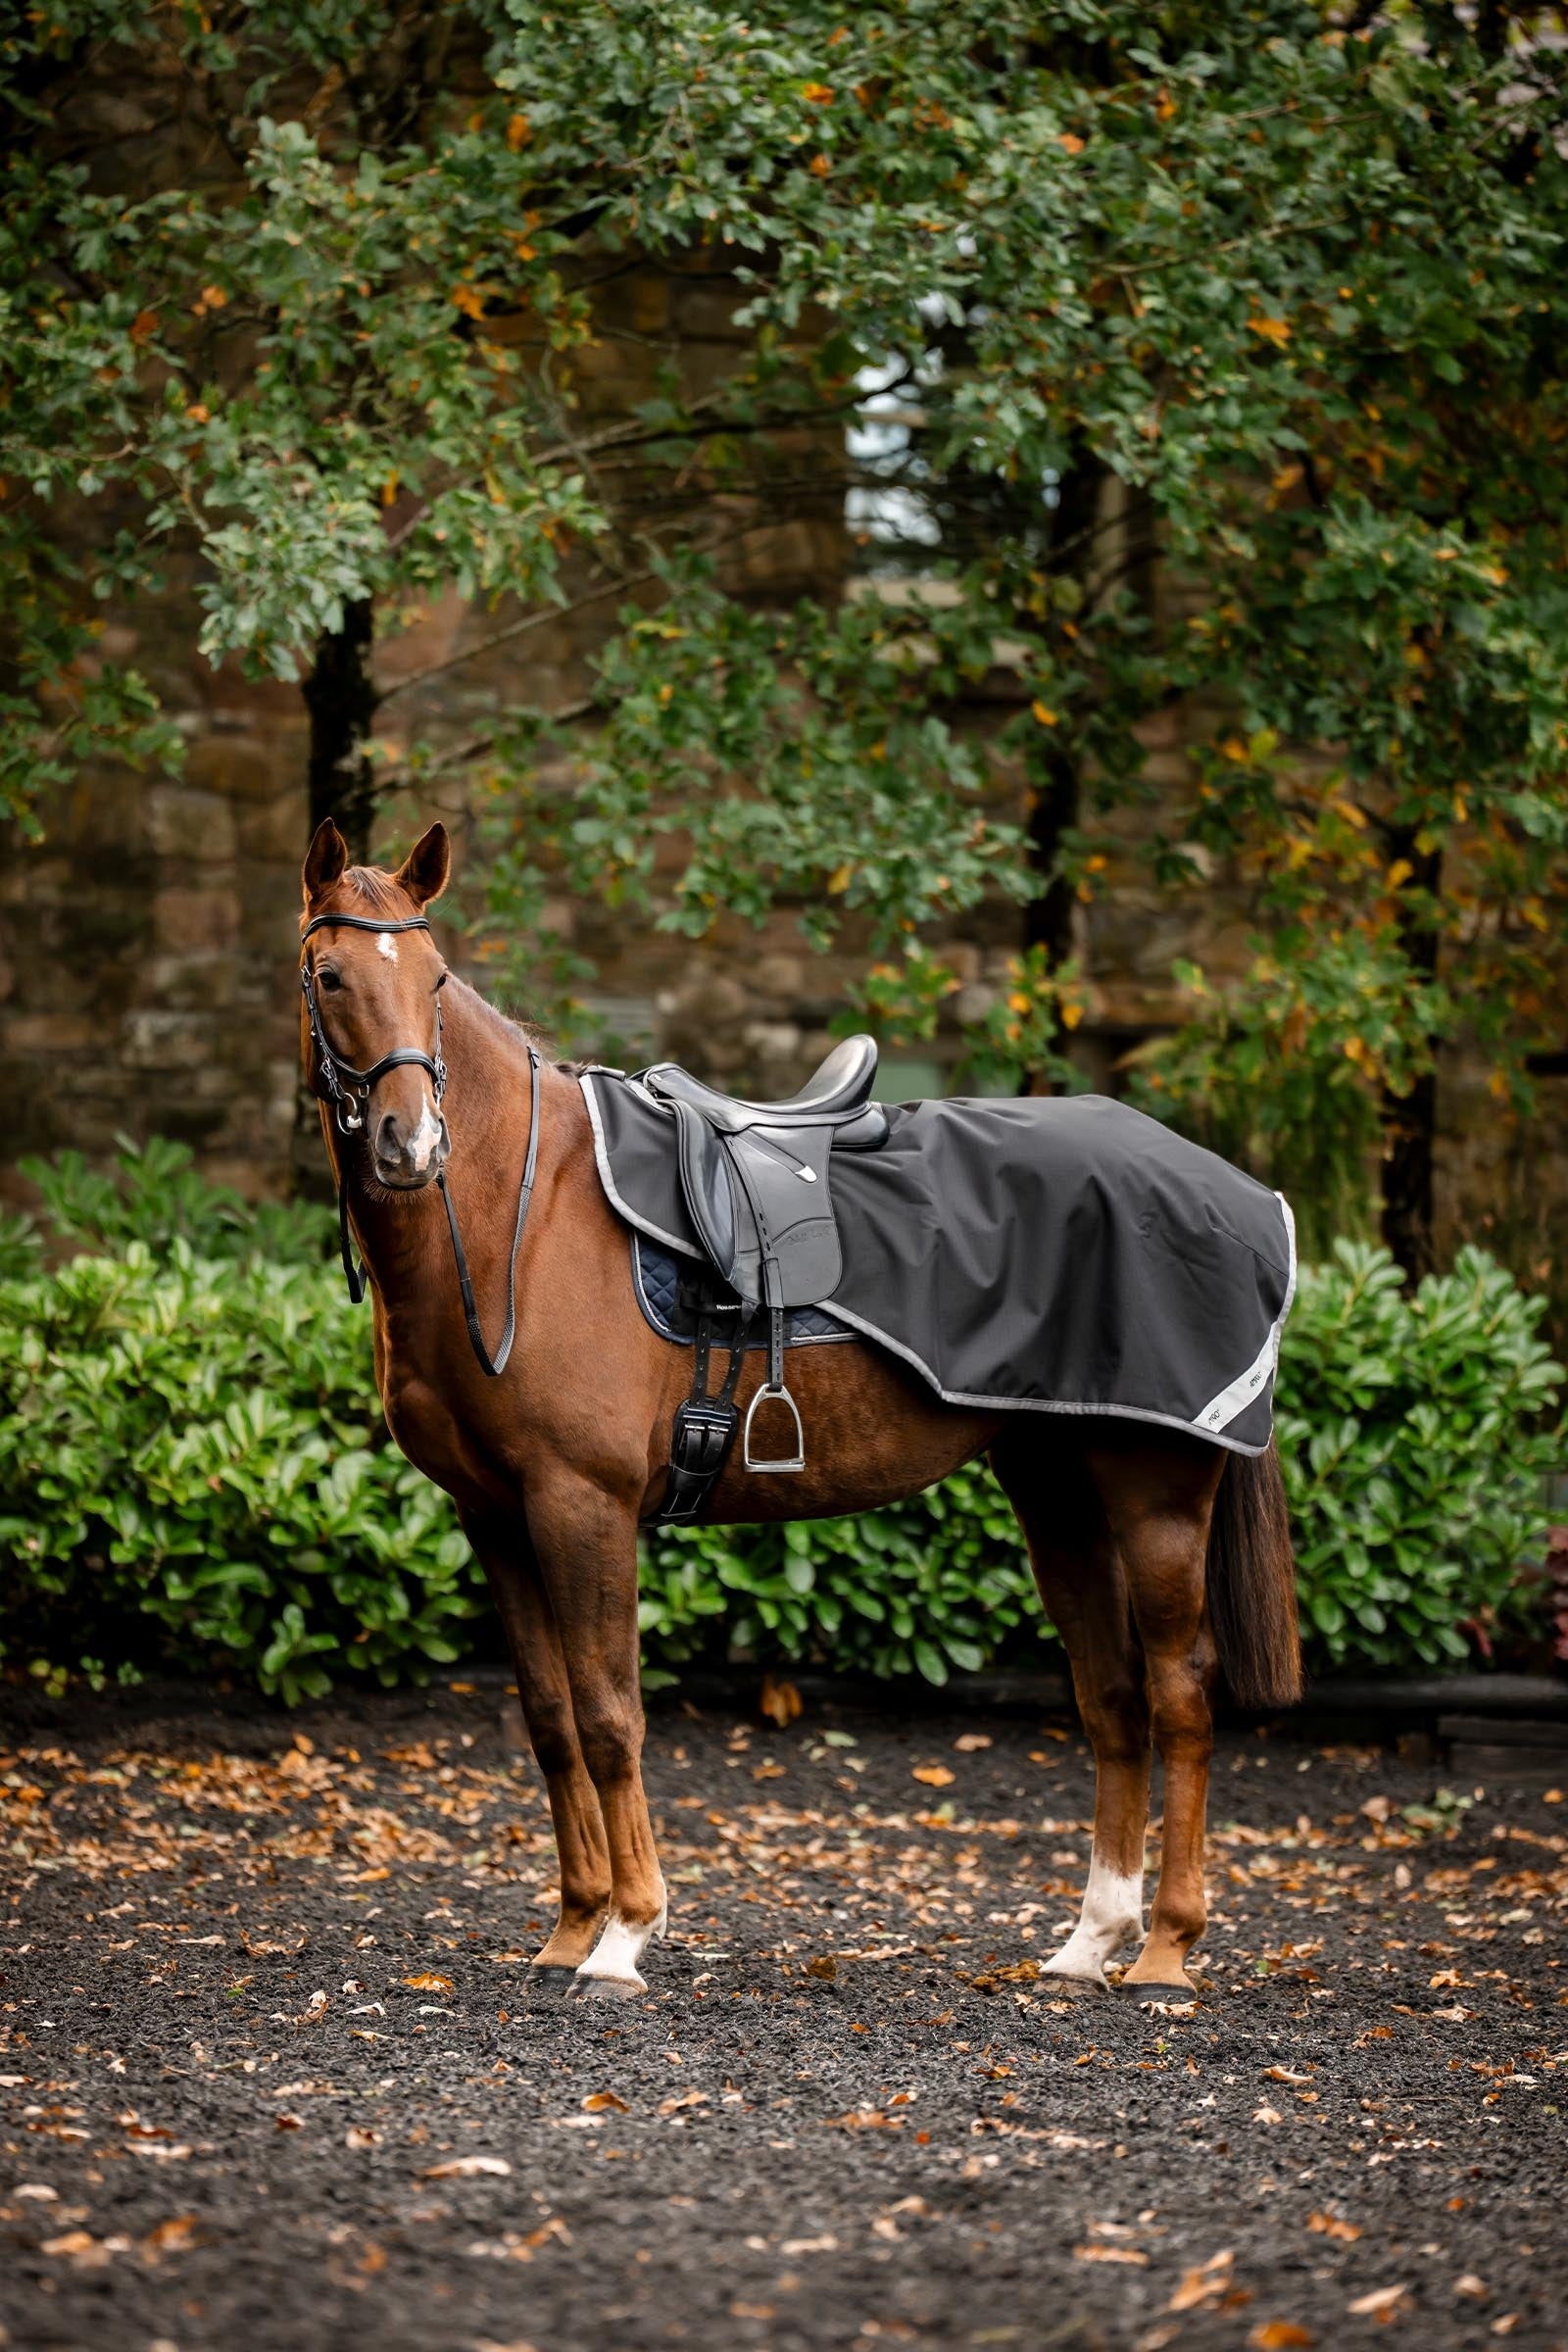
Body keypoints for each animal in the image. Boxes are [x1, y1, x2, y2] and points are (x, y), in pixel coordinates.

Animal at [297, 816, 1302, 2000]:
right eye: (330, 974)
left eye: (437, 978)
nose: (411, 1144)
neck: (520, 1218)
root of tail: (1236, 1192)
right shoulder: (495, 1515)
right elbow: (549, 1718)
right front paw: (571, 1928)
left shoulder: (581, 1504)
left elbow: (609, 1713)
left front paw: (626, 1934)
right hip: (1058, 1488)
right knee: (1112, 1695)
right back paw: (1089, 1940)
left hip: (1156, 1492)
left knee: (1182, 1694)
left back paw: (1165, 1949)